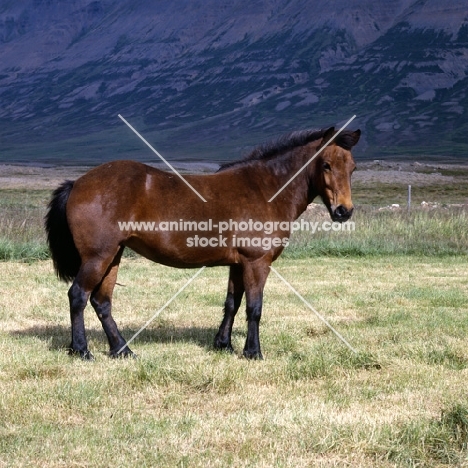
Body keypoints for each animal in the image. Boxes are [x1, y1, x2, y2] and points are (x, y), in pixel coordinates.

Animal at [45, 126, 360, 360]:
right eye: (326, 165)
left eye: (353, 168)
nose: (343, 211)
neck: (265, 189)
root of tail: (78, 183)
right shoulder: (257, 262)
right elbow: (254, 308)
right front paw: (253, 352)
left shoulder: (238, 263)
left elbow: (232, 303)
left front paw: (223, 344)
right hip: (98, 257)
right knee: (78, 296)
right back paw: (82, 350)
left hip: (113, 256)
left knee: (102, 302)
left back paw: (122, 350)